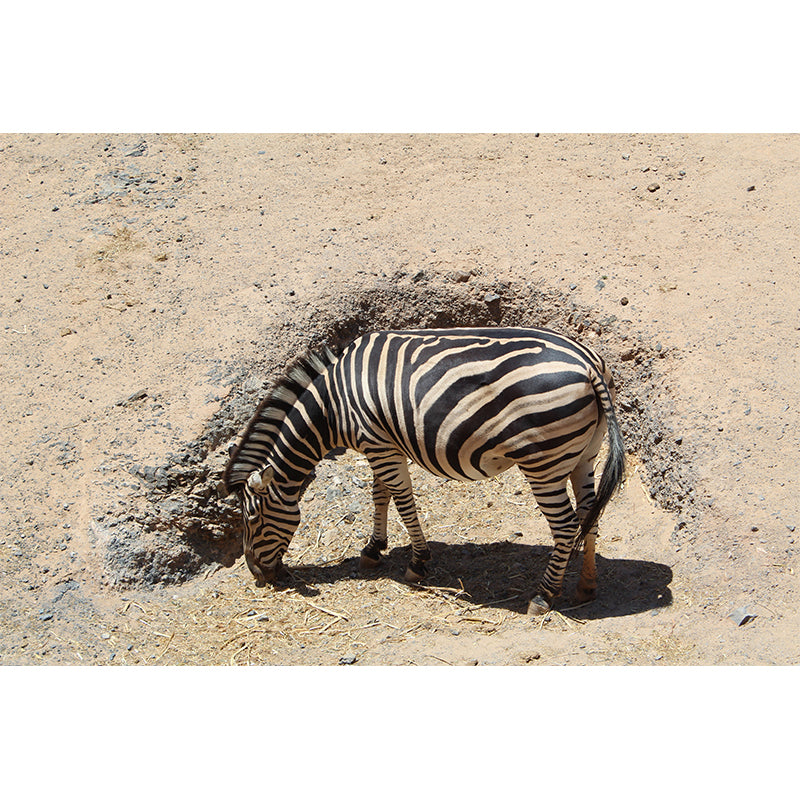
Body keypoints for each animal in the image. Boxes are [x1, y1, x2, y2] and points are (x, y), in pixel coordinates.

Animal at [218, 327, 625, 615]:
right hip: (584, 453)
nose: (258, 575)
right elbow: (379, 494)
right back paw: (586, 586)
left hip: (543, 462)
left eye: (252, 521)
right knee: (590, 514)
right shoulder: (382, 444)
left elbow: (402, 501)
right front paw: (373, 549)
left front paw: (417, 563)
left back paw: (544, 596)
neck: (332, 407)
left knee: (567, 526)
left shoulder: (379, 444)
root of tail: (588, 363)